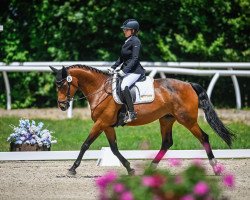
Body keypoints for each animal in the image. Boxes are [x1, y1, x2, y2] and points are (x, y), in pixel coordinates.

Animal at [49, 65, 235, 175]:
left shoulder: (100, 123)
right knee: (167, 143)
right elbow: (114, 149)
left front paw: (72, 168)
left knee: (204, 137)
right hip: (166, 120)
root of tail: (189, 84)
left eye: (62, 84)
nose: (62, 106)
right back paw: (150, 168)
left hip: (187, 120)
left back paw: (216, 167)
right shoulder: (107, 125)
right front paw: (130, 168)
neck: (101, 90)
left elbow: (85, 144)